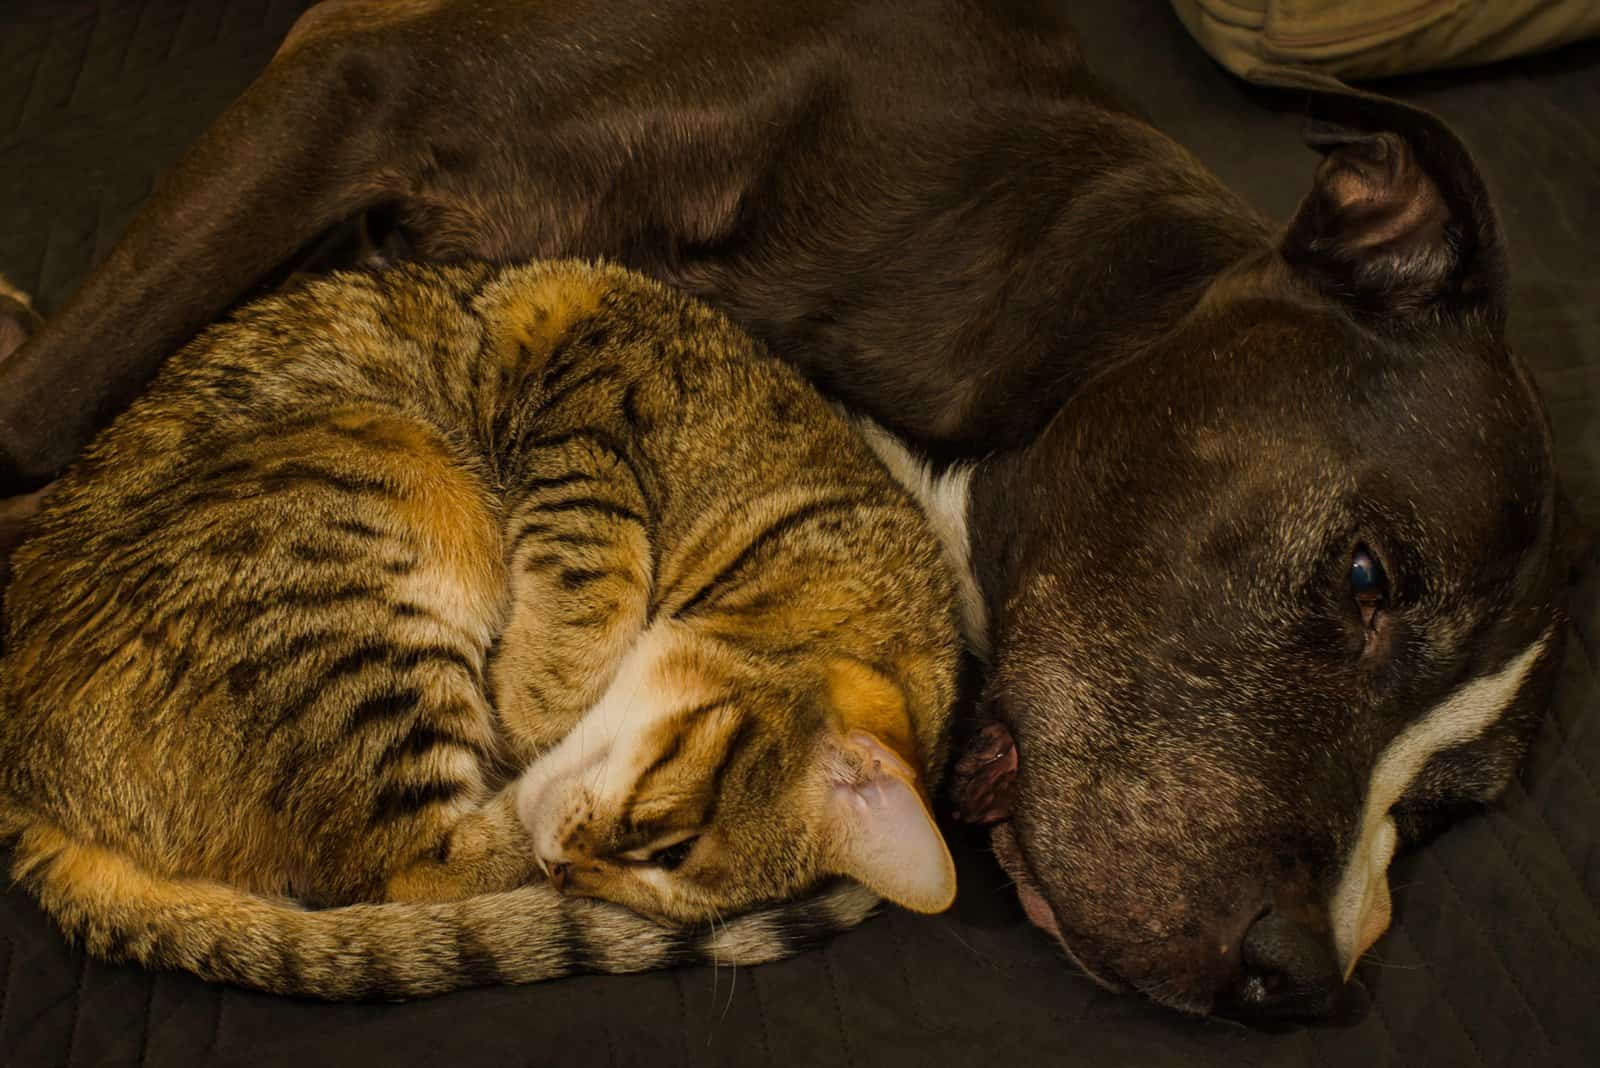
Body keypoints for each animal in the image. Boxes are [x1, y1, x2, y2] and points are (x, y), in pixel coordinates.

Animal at [0, 259, 960, 1004]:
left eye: (663, 879)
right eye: (672, 843)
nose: (566, 873)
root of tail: (34, 802)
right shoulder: (590, 382)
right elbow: (596, 565)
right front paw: (539, 696)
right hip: (378, 517)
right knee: (406, 866)